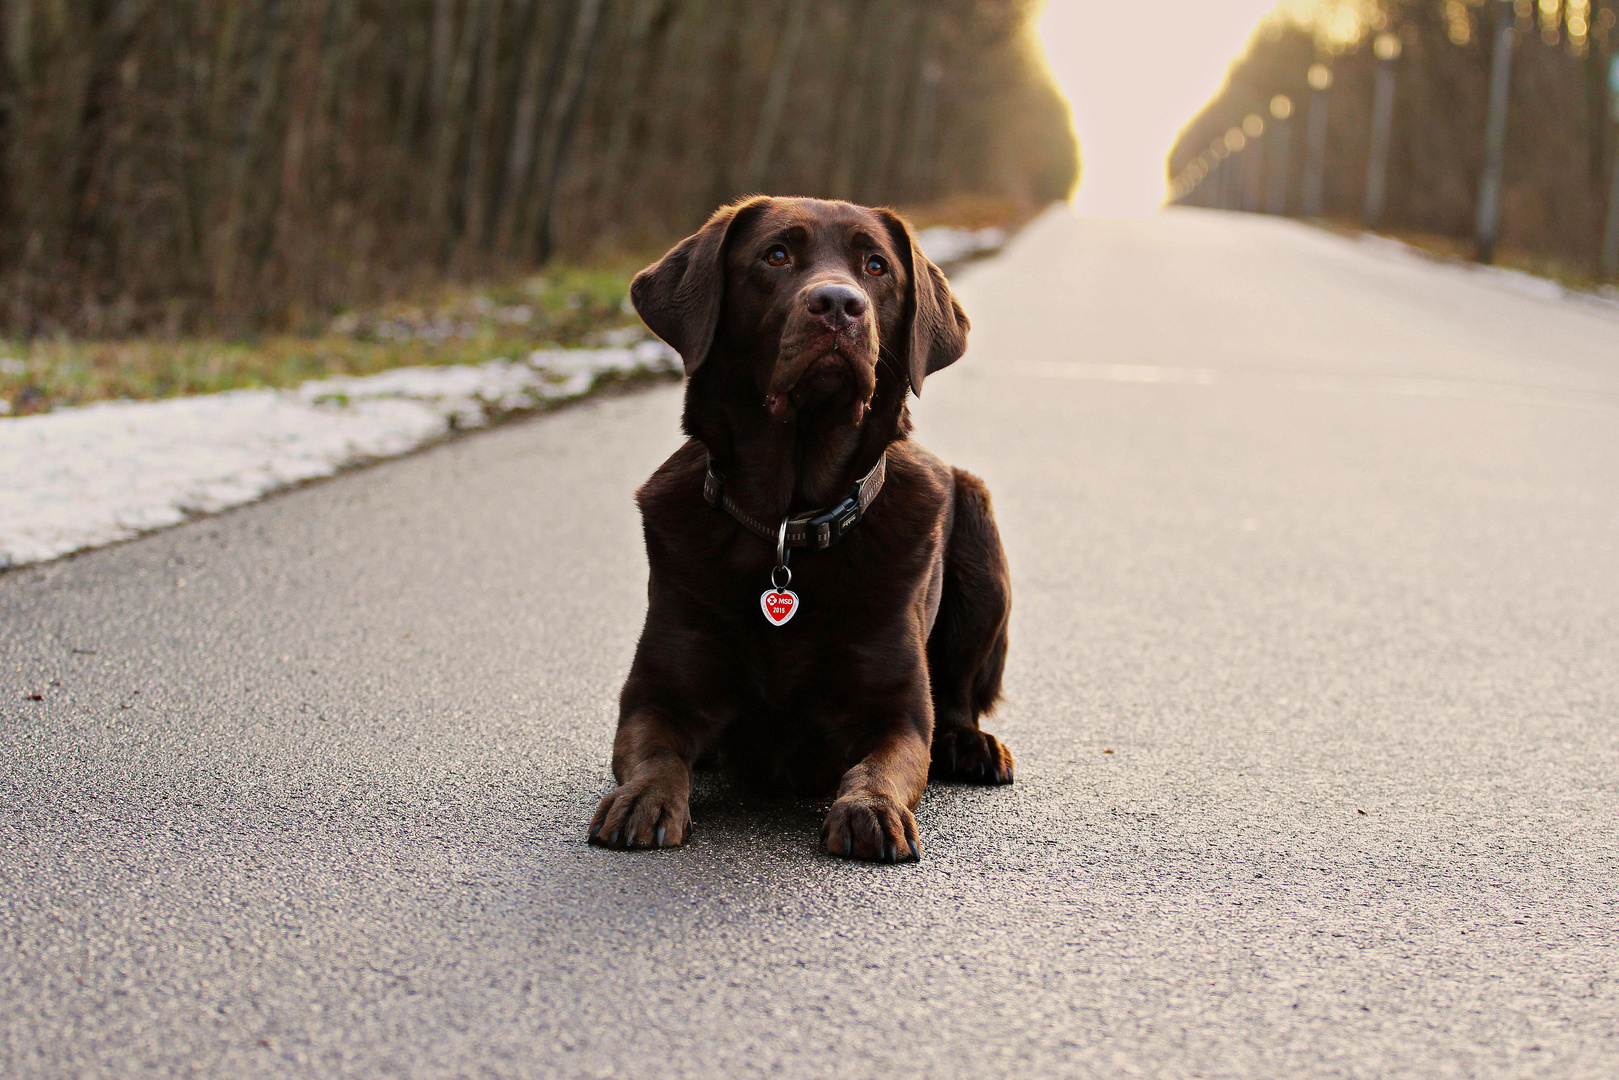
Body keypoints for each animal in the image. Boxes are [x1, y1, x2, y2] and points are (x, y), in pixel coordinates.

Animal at [589, 198, 1003, 867]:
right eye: (776, 255)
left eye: (876, 267)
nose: (839, 304)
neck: (790, 519)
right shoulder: (658, 694)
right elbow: (656, 756)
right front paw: (643, 801)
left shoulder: (898, 713)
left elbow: (883, 765)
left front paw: (871, 809)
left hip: (980, 527)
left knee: (962, 697)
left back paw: (973, 746)